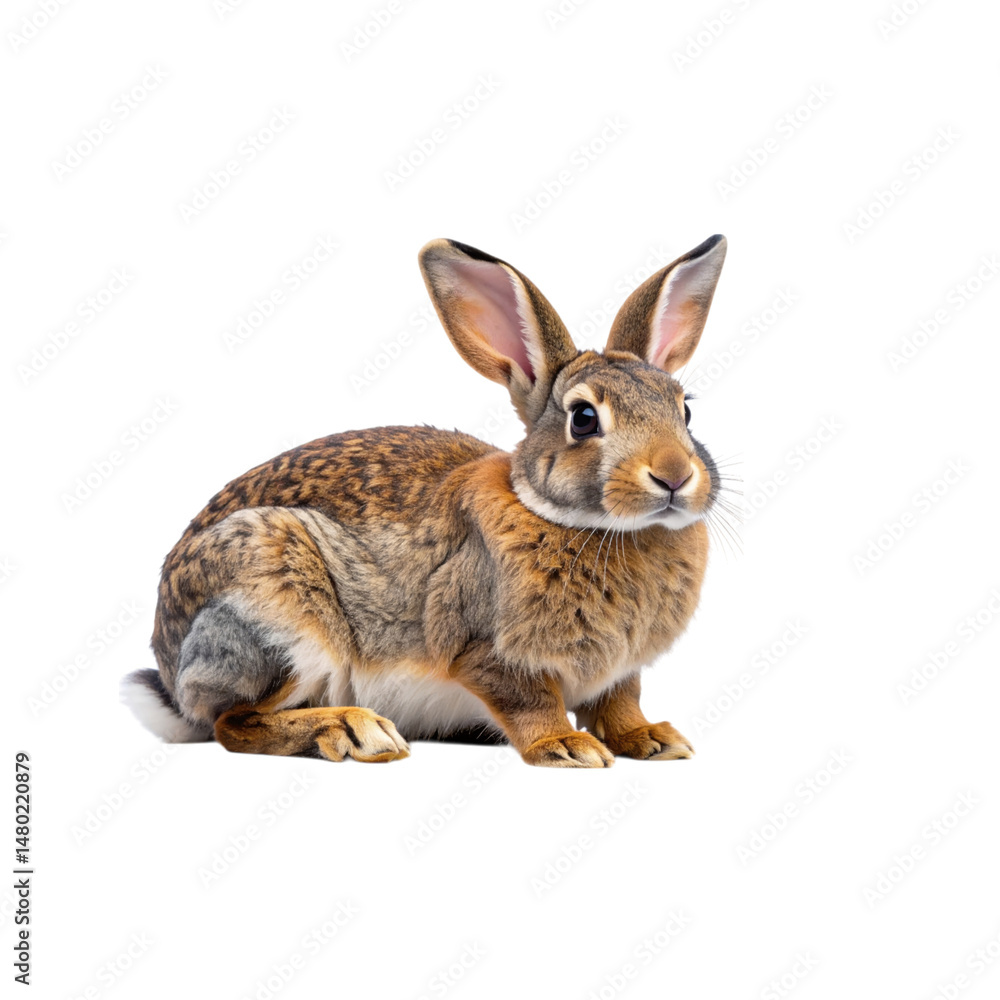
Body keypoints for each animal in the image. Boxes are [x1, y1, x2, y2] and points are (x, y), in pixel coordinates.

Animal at [121, 234, 728, 767]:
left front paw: (653, 740)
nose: (674, 476)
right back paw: (353, 731)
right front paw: (566, 747)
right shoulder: (485, 650)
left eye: (685, 410)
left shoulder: (621, 673)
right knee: (233, 722)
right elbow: (530, 703)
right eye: (583, 418)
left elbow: (621, 703)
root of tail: (172, 675)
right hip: (275, 606)